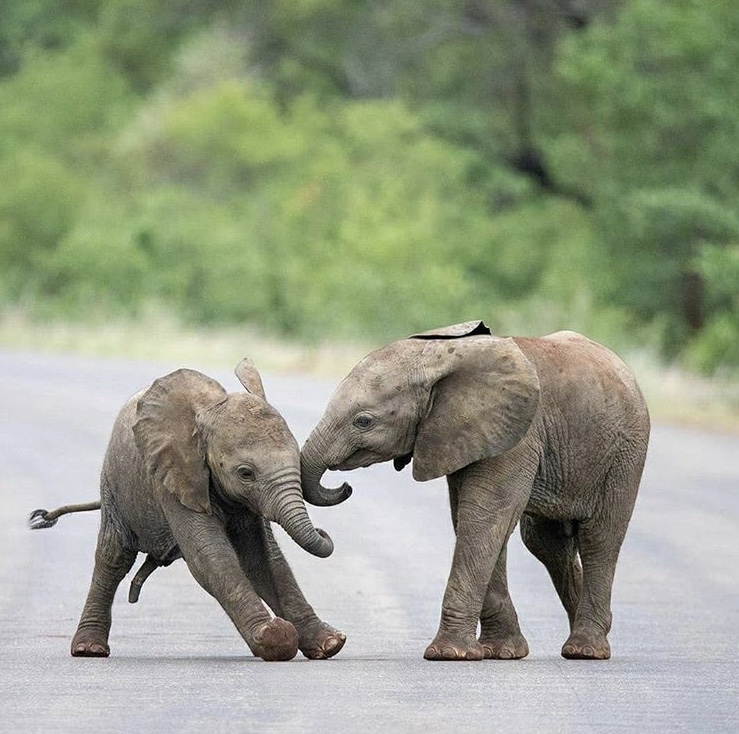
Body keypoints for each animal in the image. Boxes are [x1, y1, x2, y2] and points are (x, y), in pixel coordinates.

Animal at [31, 360, 346, 664]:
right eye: (246, 473)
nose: (323, 531)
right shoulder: (173, 478)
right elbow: (210, 556)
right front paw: (275, 638)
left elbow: (264, 559)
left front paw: (330, 644)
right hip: (114, 484)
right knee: (114, 557)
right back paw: (89, 650)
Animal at [298, 322, 652, 660]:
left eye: (363, 421)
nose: (346, 487)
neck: (438, 357)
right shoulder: (460, 434)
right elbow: (472, 520)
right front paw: (500, 653)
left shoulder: (519, 435)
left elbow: (483, 517)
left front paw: (448, 655)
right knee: (546, 543)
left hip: (625, 453)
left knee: (599, 537)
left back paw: (585, 650)